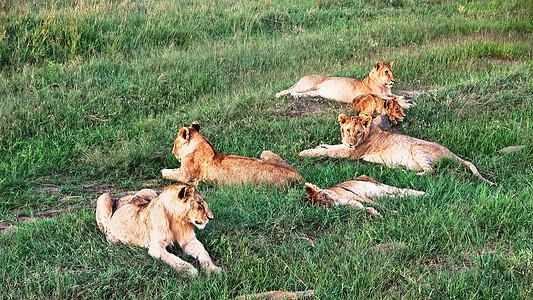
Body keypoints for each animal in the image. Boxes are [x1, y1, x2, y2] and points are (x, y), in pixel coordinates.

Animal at [161, 121, 304, 185]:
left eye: (175, 144)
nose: (172, 153)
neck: (200, 144)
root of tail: (298, 175)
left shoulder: (185, 176)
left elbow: (167, 174)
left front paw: (162, 171)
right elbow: (172, 170)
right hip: (265, 152)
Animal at [276, 61, 414, 109]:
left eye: (391, 71)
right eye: (386, 72)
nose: (393, 80)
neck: (384, 86)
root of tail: (304, 76)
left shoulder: (388, 94)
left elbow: (396, 97)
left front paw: (406, 100)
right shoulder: (376, 96)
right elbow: (393, 100)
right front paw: (408, 104)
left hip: (313, 92)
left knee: (296, 92)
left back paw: (295, 96)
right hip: (307, 84)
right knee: (288, 89)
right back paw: (278, 94)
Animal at [300, 115, 494, 185]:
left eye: (358, 132)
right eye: (347, 130)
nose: (351, 142)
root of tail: (453, 154)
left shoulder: (352, 153)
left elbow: (329, 152)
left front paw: (305, 152)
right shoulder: (345, 147)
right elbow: (331, 146)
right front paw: (320, 145)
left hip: (417, 148)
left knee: (431, 171)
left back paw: (408, 173)